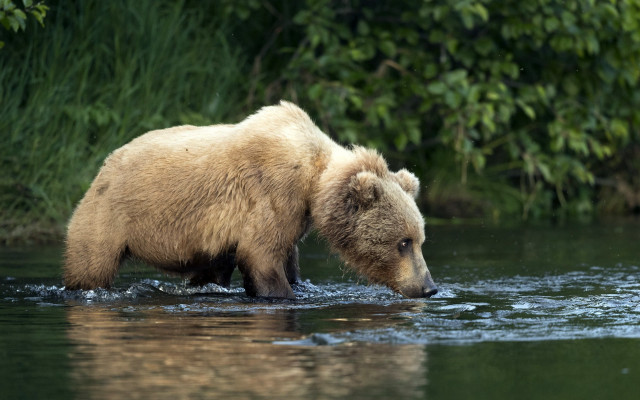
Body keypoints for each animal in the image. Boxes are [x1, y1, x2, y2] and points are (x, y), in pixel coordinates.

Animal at [63, 101, 438, 299]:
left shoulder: (294, 217)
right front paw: (281, 293)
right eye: (403, 242)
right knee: (90, 265)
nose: (429, 287)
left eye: (420, 239)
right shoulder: (273, 193)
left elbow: (286, 260)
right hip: (109, 216)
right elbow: (261, 254)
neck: (313, 182)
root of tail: (105, 164)